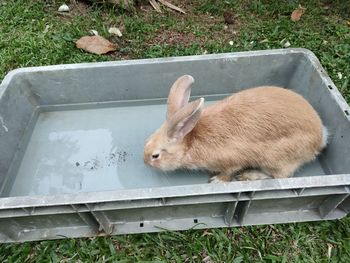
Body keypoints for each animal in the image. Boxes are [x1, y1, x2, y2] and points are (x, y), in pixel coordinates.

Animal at [143, 75, 328, 183]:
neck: (190, 141)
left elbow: (229, 171)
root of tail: (320, 138)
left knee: (280, 176)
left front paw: (217, 181)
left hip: (276, 159)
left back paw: (250, 175)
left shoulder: (231, 160)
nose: (145, 162)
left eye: (155, 156)